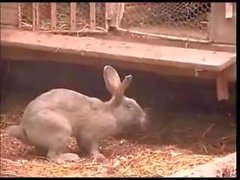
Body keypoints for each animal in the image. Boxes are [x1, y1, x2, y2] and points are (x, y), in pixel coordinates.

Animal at [6, 65, 146, 163]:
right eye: (129, 106)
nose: (143, 117)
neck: (111, 113)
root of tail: (24, 129)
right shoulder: (91, 135)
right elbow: (92, 146)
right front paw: (99, 156)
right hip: (61, 131)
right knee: (52, 156)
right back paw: (71, 157)